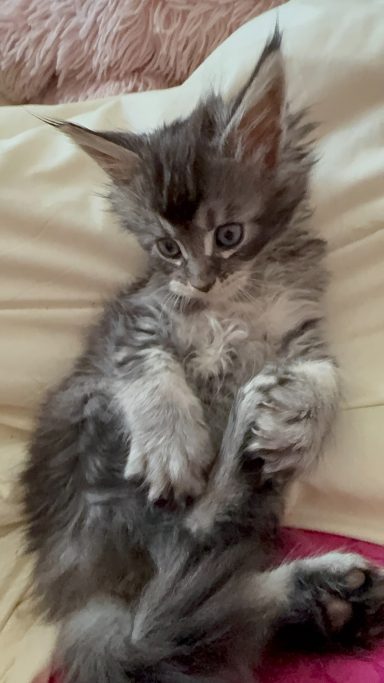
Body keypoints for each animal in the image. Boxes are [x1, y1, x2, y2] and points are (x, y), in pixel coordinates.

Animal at [21, 33, 384, 683]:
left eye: (229, 235)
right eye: (167, 247)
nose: (200, 280)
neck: (233, 301)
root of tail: (82, 590)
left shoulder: (302, 334)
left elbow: (325, 376)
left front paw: (299, 419)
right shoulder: (134, 323)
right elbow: (153, 372)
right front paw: (173, 447)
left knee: (205, 559)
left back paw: (326, 596)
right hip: (90, 414)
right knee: (192, 542)